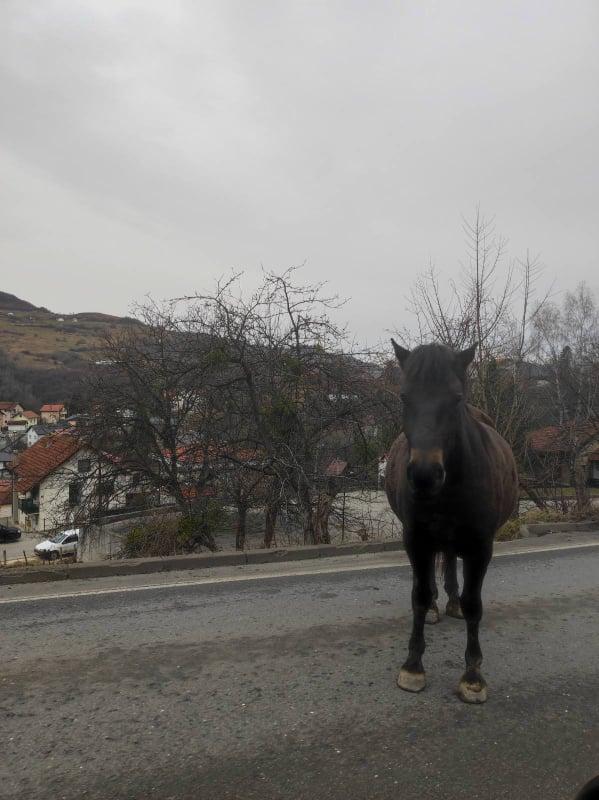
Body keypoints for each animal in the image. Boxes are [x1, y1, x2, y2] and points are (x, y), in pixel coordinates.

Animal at [386, 340, 516, 704]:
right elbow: (418, 594)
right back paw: (435, 607)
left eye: (456, 398)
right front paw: (413, 667)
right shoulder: (416, 539)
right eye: (404, 396)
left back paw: (453, 603)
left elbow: (474, 604)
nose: (424, 475)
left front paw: (472, 676)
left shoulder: (480, 546)